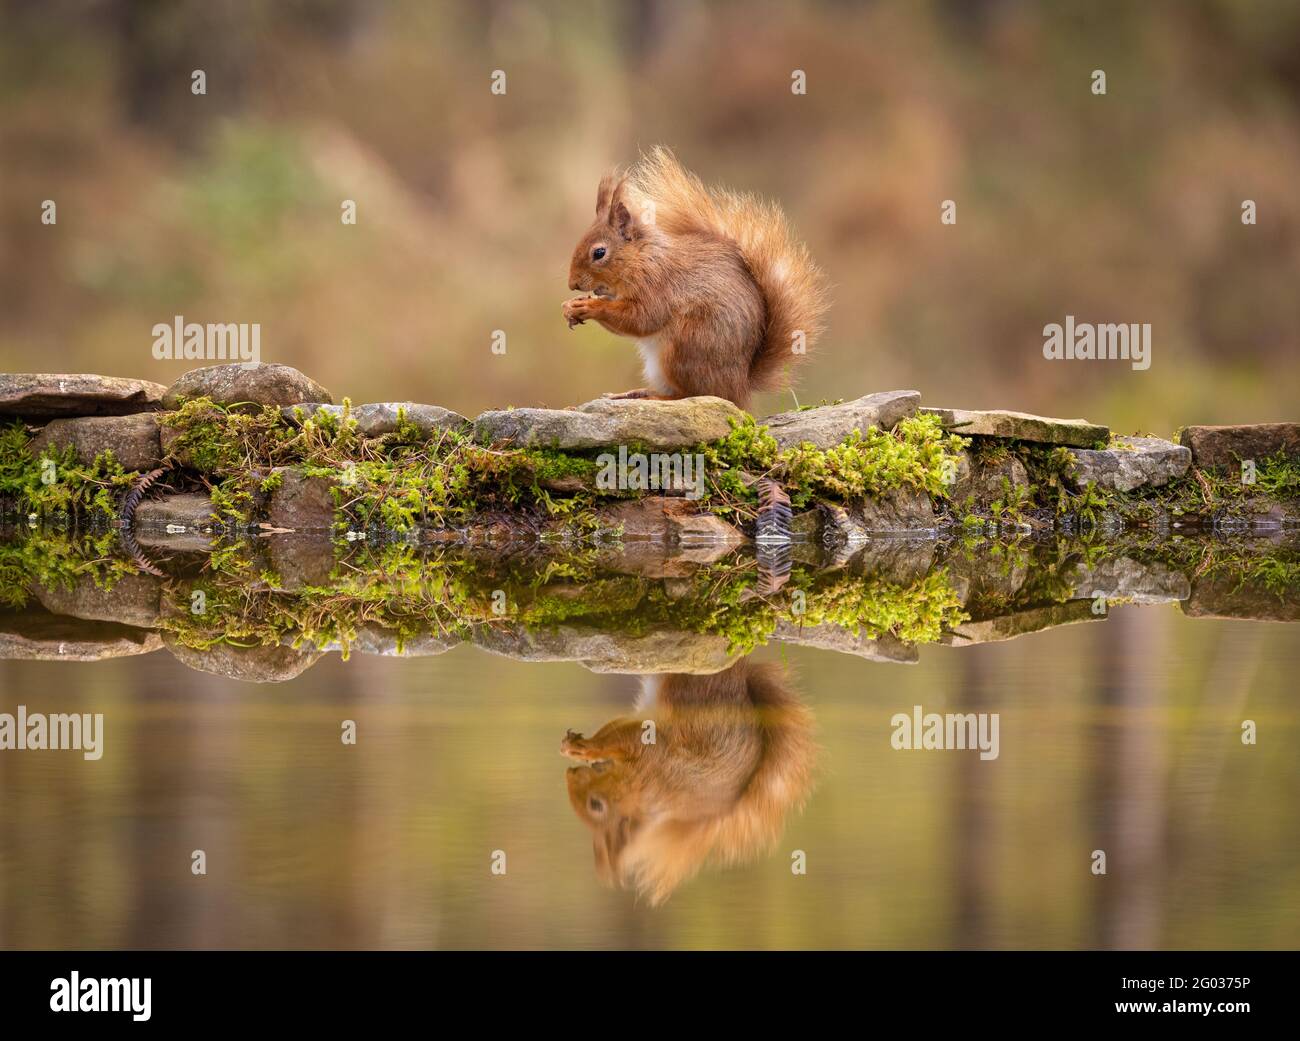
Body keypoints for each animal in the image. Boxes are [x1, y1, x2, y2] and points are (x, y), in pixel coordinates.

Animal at [561, 148, 826, 408]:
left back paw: (652, 397)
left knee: (694, 393)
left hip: (684, 348)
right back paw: (635, 393)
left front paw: (588, 306)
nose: (572, 284)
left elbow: (641, 318)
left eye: (599, 253)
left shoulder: (658, 285)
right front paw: (569, 307)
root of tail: (741, 387)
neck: (642, 257)